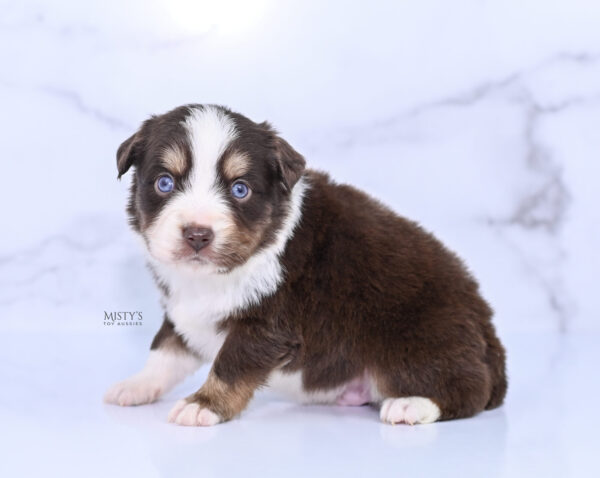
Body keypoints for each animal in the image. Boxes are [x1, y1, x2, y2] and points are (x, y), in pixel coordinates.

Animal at [104, 103, 506, 426]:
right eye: (164, 183)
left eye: (240, 189)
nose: (198, 235)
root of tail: (487, 326)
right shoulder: (184, 313)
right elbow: (165, 351)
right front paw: (135, 385)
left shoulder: (269, 325)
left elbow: (230, 365)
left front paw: (203, 405)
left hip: (422, 337)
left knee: (470, 389)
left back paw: (411, 405)